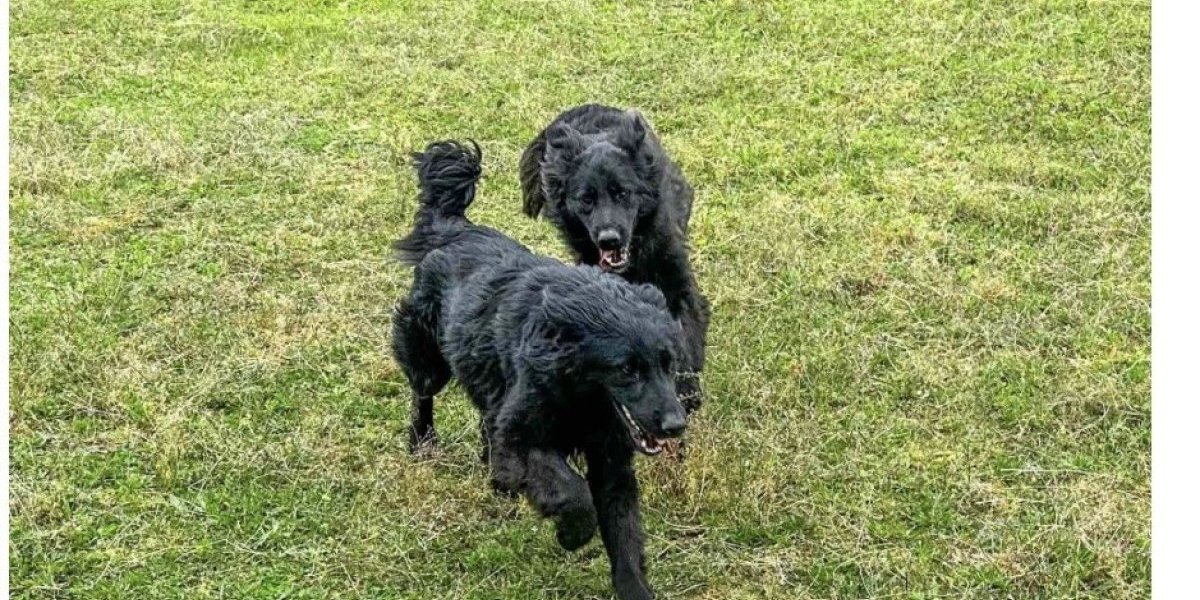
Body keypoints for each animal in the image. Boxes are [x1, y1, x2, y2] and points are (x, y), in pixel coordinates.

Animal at [393, 139, 691, 600]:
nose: (676, 425)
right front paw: (572, 532)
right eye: (626, 369)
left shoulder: (611, 461)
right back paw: (423, 442)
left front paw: (634, 589)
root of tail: (456, 227)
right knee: (423, 393)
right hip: (428, 357)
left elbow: (624, 535)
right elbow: (572, 490)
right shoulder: (522, 439)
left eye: (668, 363)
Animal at [518, 103, 705, 417]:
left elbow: (683, 333)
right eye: (586, 199)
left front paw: (686, 390)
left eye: (622, 193)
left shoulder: (678, 284)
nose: (609, 240)